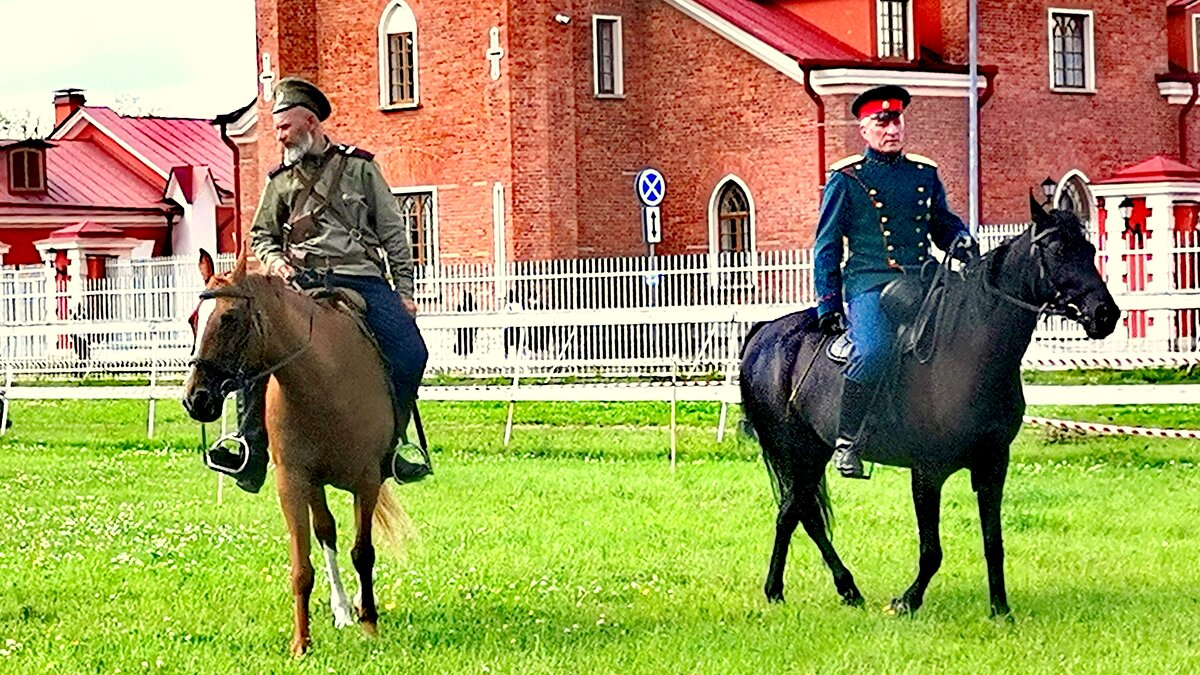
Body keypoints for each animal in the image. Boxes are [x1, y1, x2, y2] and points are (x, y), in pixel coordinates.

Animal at [180, 249, 408, 653]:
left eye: (230, 318)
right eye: (194, 319)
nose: (196, 399)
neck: (324, 381)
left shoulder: (367, 480)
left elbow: (363, 553)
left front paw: (370, 624)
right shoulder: (293, 482)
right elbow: (302, 566)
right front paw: (301, 642)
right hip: (315, 485)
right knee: (326, 531)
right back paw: (341, 609)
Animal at [739, 198, 1123, 614]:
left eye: (1089, 249)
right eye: (1056, 250)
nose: (1105, 314)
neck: (967, 351)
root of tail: (764, 332)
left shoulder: (993, 464)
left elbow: (993, 543)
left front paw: (1000, 610)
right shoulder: (926, 471)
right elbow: (931, 551)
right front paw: (907, 600)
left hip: (812, 450)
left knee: (797, 511)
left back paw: (815, 588)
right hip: (794, 450)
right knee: (799, 511)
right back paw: (810, 587)